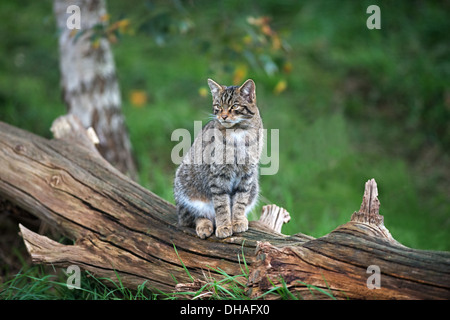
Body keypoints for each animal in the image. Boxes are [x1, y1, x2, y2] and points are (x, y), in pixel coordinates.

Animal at [173, 78, 264, 238]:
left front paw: (237, 221)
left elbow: (240, 201)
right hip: (185, 190)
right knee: (193, 216)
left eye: (235, 106)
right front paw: (224, 226)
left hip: (254, 187)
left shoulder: (247, 174)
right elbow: (222, 204)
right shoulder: (218, 175)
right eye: (218, 106)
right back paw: (205, 225)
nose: (224, 116)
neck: (237, 132)